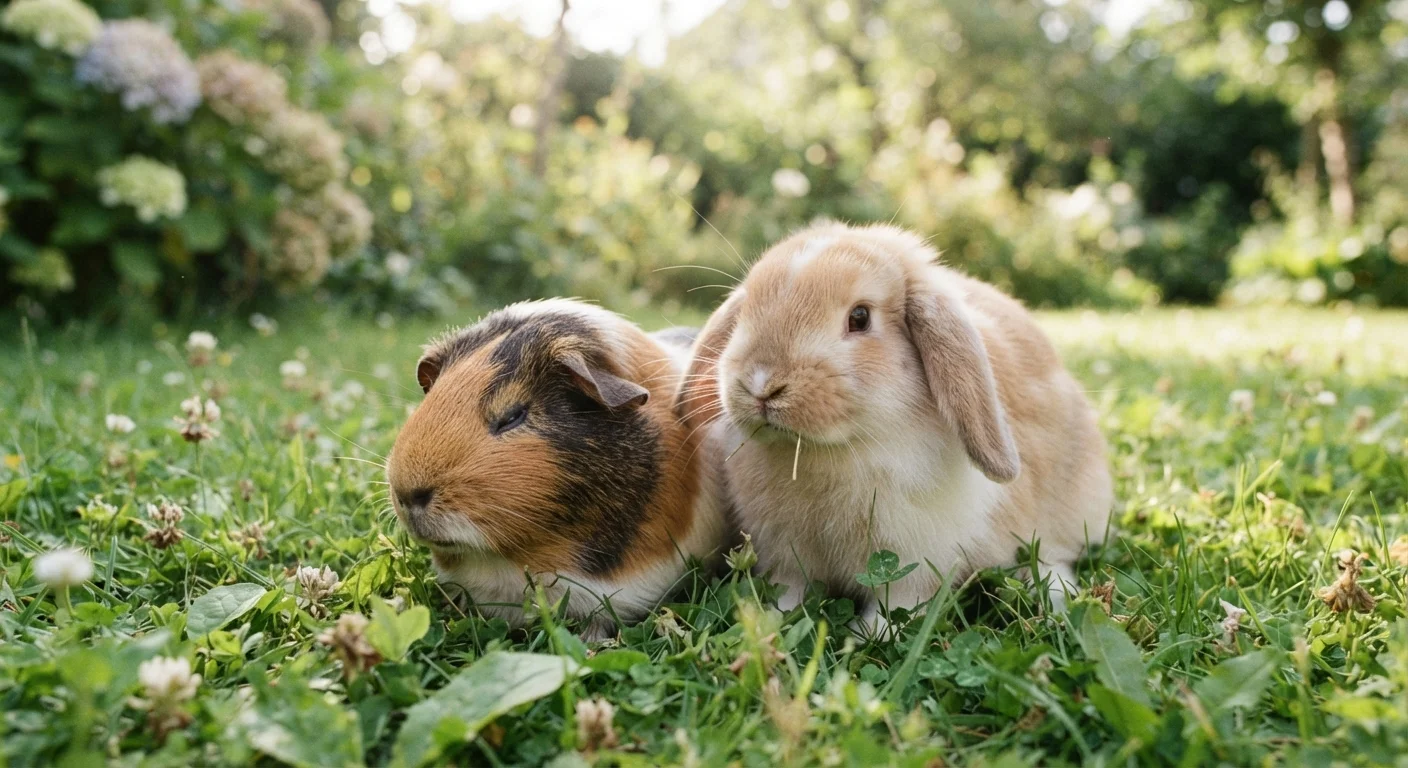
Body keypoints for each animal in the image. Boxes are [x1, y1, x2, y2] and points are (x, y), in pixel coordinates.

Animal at [677, 222, 1112, 627]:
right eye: (746, 310)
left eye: (860, 317)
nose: (761, 384)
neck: (830, 450)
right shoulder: (784, 552)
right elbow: (790, 589)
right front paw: (772, 620)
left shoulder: (913, 558)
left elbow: (898, 603)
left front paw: (871, 633)